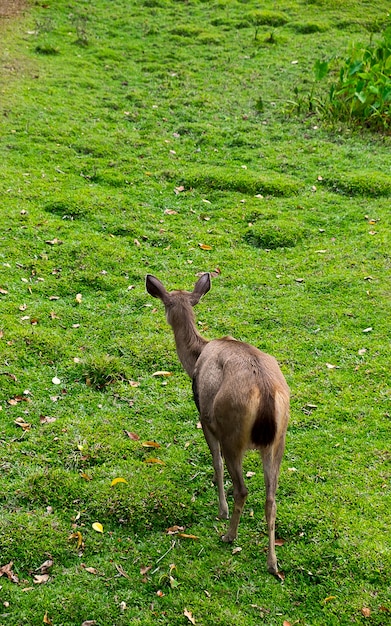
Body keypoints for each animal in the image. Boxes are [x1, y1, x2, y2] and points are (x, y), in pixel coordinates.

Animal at [145, 270, 290, 572]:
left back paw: (229, 534)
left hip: (232, 430)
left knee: (242, 488)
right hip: (278, 439)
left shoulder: (204, 417)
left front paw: (220, 507)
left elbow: (216, 461)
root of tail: (266, 392)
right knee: (271, 498)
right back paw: (272, 563)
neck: (196, 357)